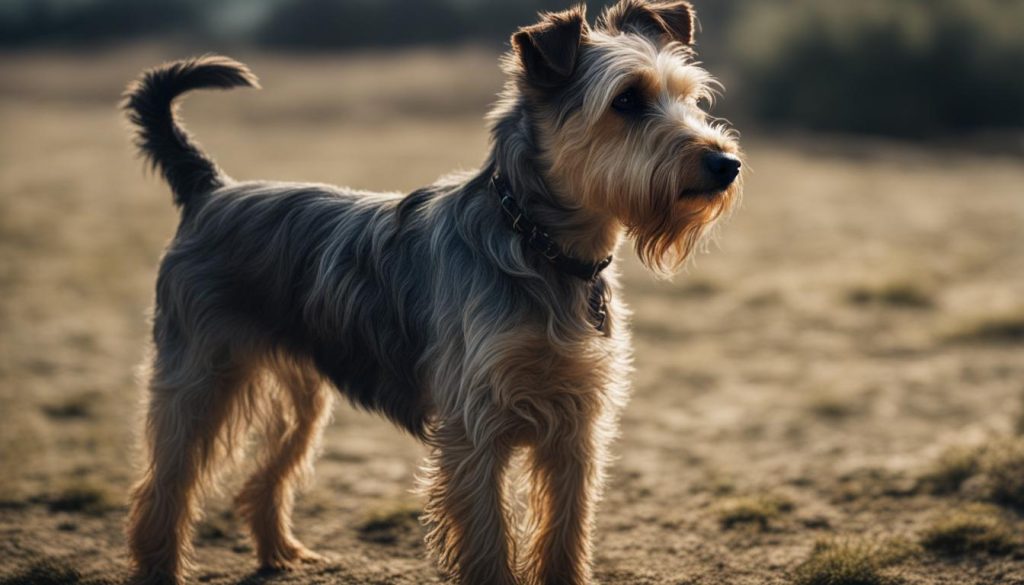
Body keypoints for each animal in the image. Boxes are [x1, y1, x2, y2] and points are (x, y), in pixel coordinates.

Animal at [123, 2, 741, 581]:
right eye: (627, 100)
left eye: (691, 98)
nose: (727, 162)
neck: (541, 247)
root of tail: (209, 191)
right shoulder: (474, 430)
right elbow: (489, 543)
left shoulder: (576, 427)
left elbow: (565, 534)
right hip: (200, 380)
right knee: (163, 489)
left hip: (302, 399)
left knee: (263, 478)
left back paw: (280, 553)